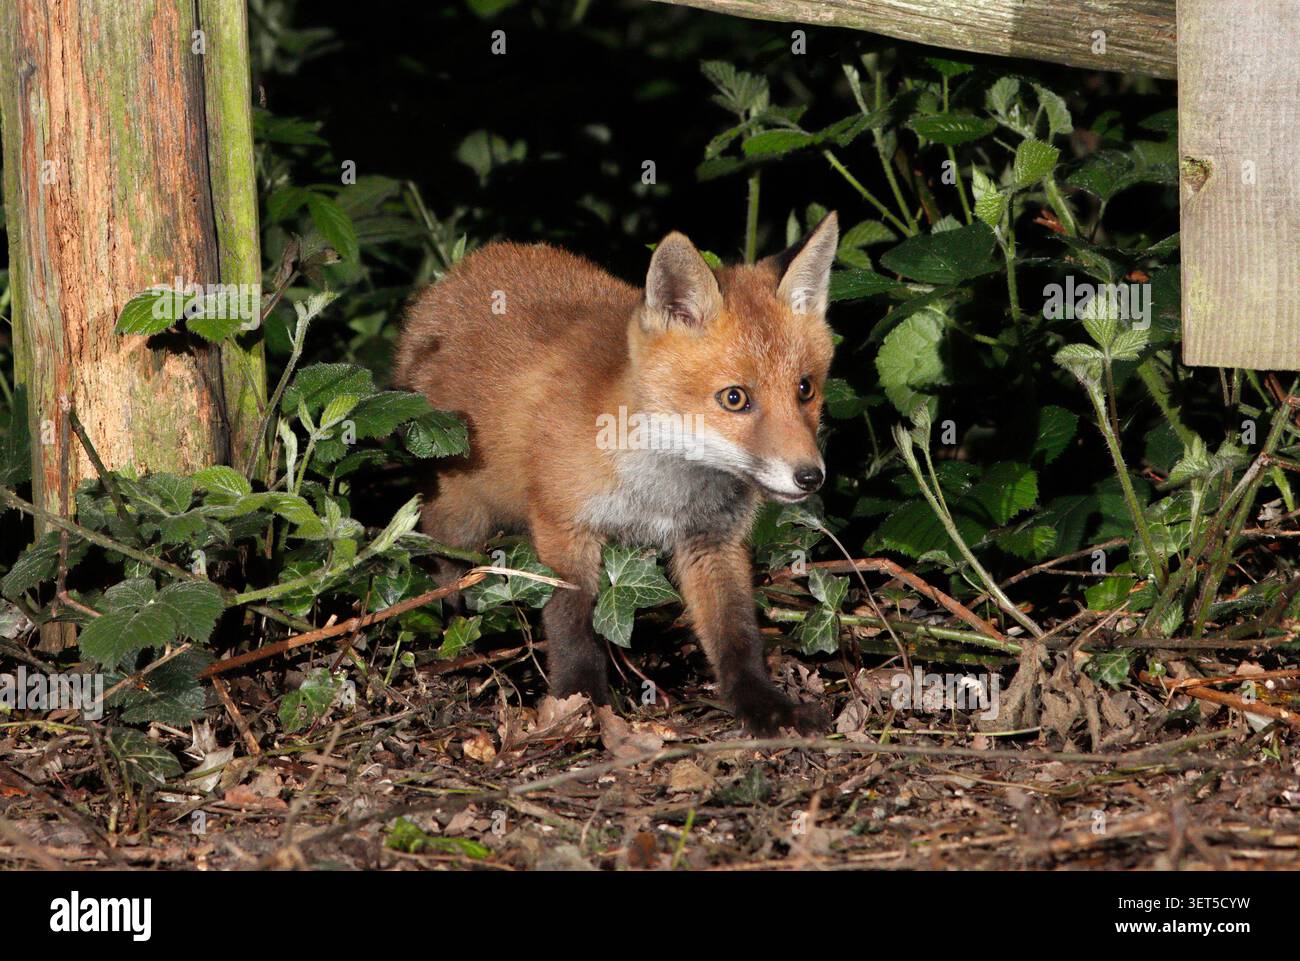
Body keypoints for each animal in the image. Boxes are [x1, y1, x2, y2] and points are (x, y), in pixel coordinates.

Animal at [393, 213, 839, 735]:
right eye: (735, 398)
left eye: (805, 389)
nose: (810, 477)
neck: (663, 489)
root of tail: (459, 272)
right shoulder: (563, 528)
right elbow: (571, 627)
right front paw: (581, 701)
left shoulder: (710, 540)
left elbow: (736, 634)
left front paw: (764, 705)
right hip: (459, 519)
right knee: (449, 575)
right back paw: (464, 638)